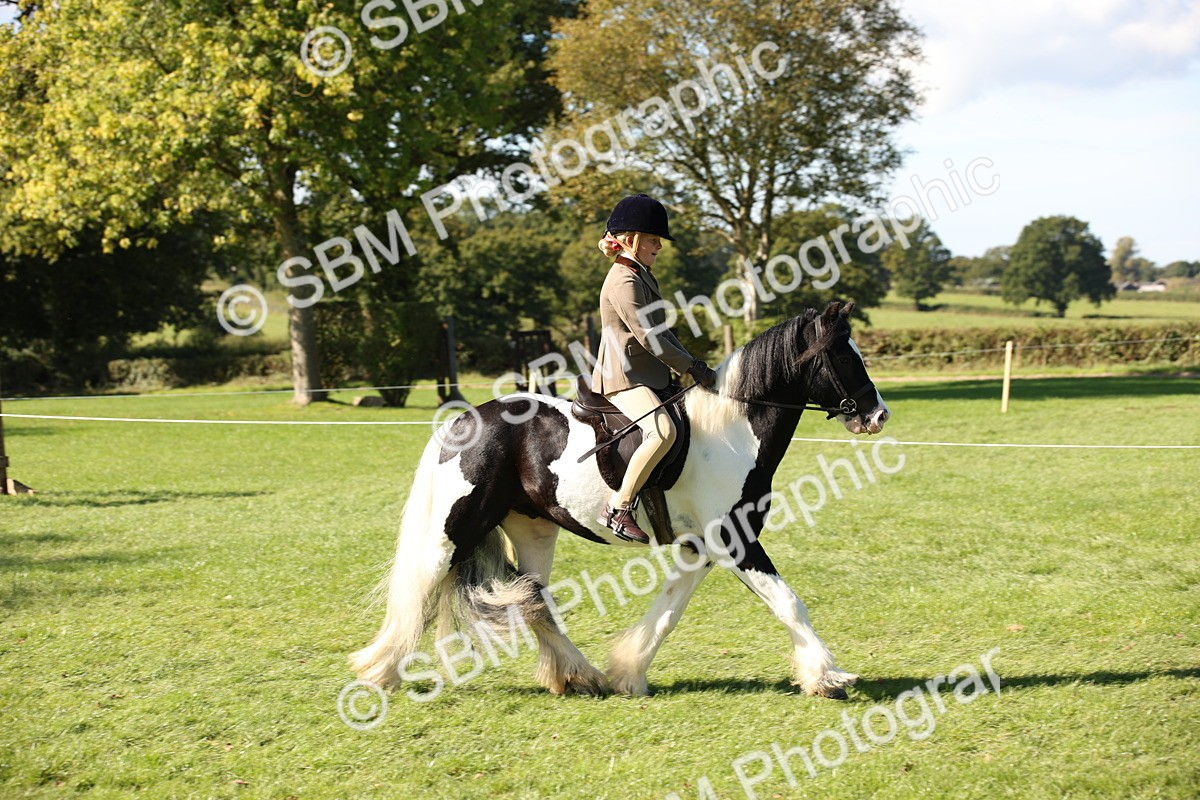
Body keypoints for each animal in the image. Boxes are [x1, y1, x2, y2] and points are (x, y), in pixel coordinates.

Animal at [349, 301, 890, 699]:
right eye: (845, 357)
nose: (878, 415)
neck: (733, 430)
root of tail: (463, 420)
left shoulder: (701, 548)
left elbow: (669, 611)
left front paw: (629, 672)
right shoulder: (735, 540)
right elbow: (789, 603)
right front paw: (828, 678)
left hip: (533, 529)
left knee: (535, 600)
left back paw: (578, 675)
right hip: (454, 531)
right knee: (420, 587)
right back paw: (380, 672)